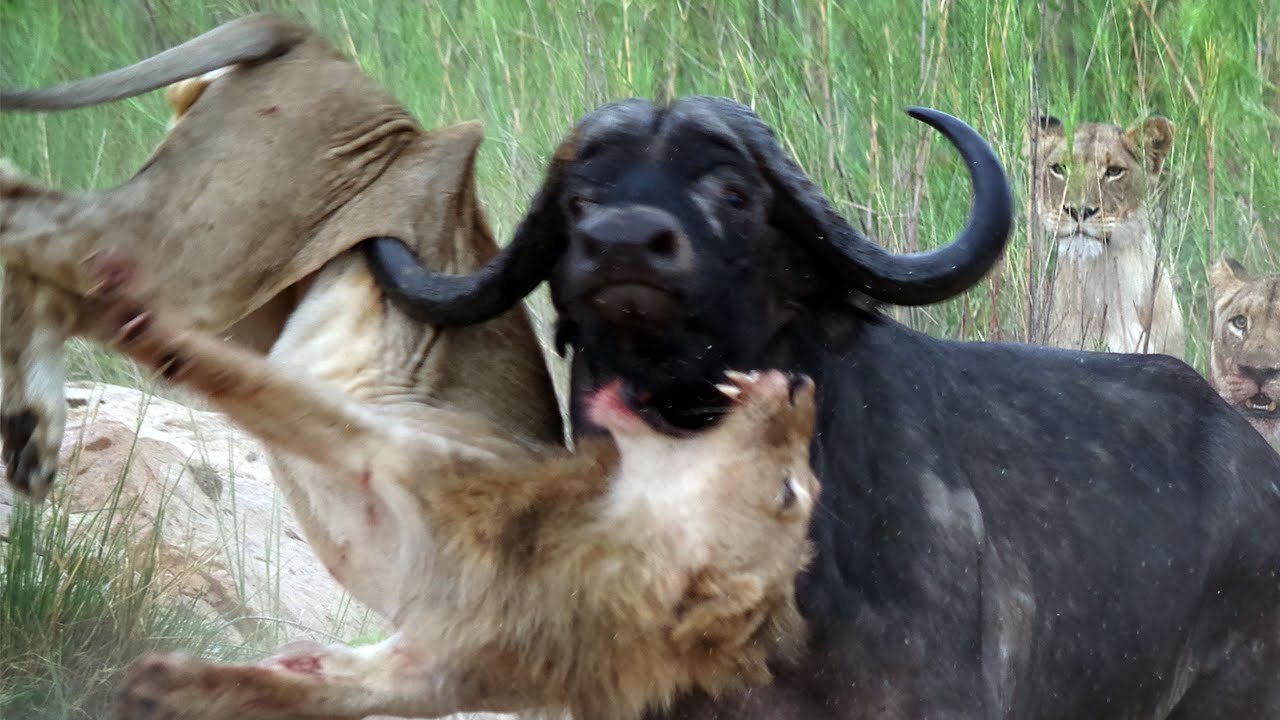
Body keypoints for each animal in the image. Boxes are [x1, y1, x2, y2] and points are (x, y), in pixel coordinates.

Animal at [27, 254, 818, 720]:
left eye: (790, 493)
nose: (803, 386)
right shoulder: (398, 451)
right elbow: (212, 364)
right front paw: (97, 297)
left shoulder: (427, 672)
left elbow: (290, 688)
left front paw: (162, 686)